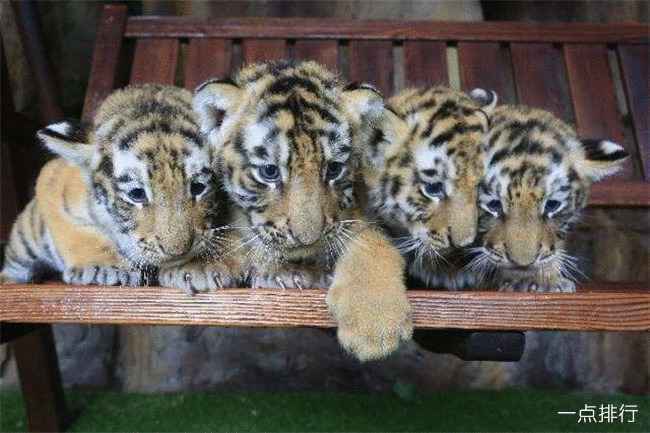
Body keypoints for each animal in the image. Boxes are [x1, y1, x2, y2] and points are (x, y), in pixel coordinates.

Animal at [0, 84, 221, 287]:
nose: (178, 251)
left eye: (198, 187)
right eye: (137, 194)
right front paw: (104, 267)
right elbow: (78, 232)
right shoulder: (52, 181)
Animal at [159, 60, 412, 361]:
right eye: (269, 171)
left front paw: (374, 325)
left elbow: (370, 241)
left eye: (334, 169)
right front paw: (198, 264)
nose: (308, 238)